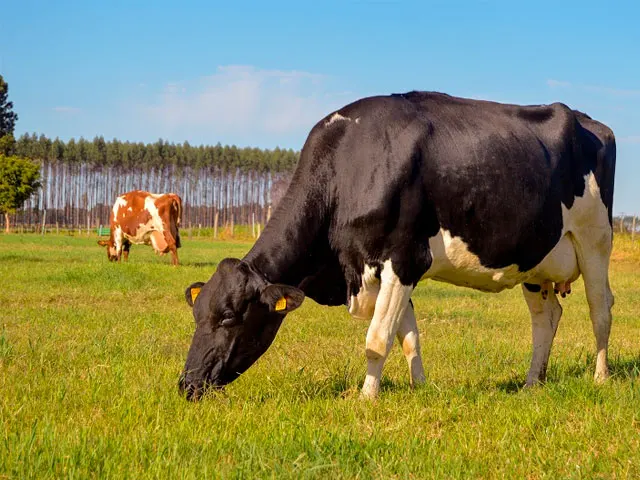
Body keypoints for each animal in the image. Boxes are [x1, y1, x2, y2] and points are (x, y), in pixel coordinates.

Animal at [179, 91, 616, 402]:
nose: (187, 384)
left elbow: (377, 339)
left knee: (600, 311)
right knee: (546, 317)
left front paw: (365, 398)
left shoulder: (404, 258)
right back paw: (531, 383)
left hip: (596, 240)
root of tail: (587, 120)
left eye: (229, 318)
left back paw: (600, 378)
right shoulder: (391, 267)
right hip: (536, 260)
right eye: (197, 315)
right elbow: (408, 336)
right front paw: (418, 388)